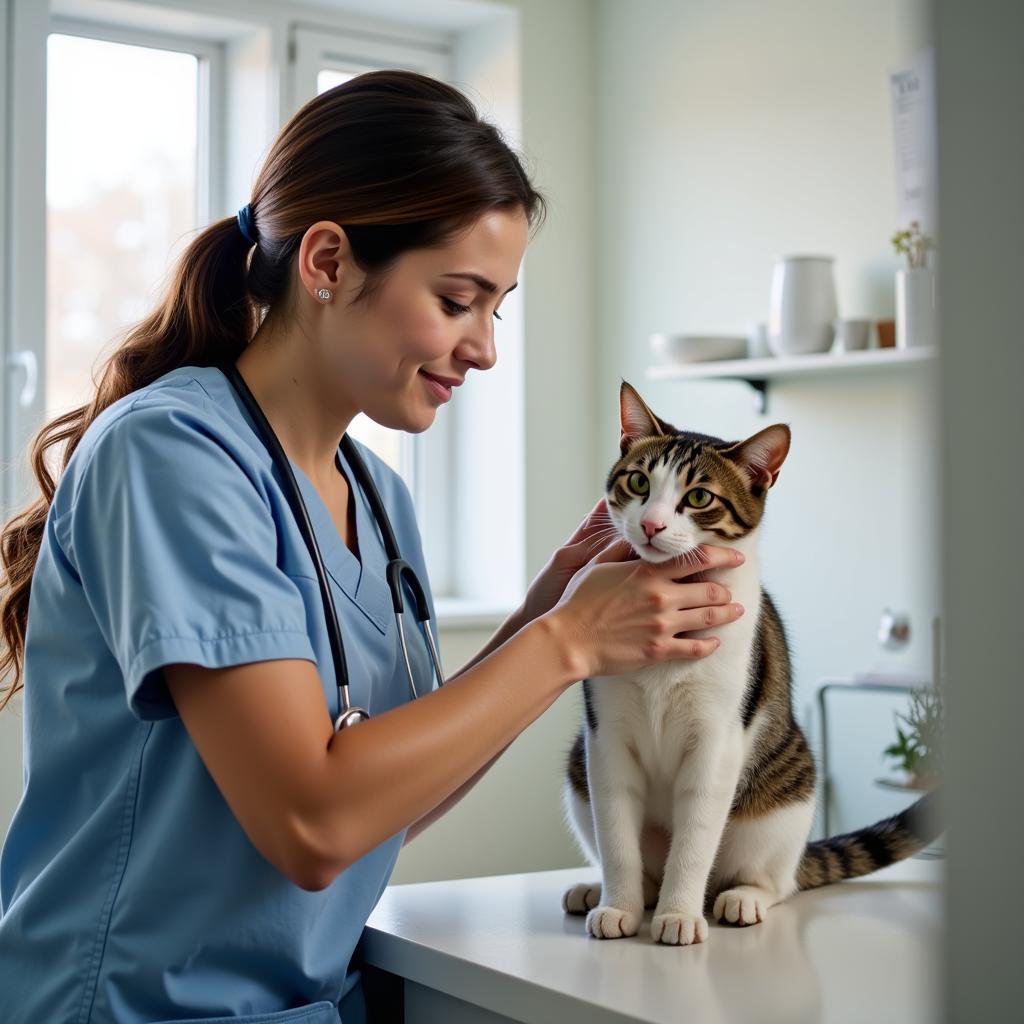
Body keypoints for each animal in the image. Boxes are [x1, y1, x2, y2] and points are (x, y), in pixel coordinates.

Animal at [565, 382, 937, 942]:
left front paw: (679, 914)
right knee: (637, 856)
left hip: (786, 795)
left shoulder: (717, 737)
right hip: (576, 772)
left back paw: (742, 897)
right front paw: (618, 905)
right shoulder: (605, 734)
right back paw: (612, 890)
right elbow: (616, 834)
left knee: (775, 879)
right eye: (638, 481)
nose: (650, 524)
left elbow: (696, 836)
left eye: (699, 497)